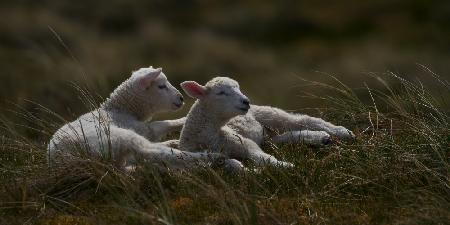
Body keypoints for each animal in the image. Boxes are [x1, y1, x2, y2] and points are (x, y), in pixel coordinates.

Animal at [46, 66, 225, 170]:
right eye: (161, 86)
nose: (181, 98)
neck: (120, 109)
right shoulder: (142, 128)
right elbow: (162, 124)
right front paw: (182, 120)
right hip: (119, 137)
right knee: (153, 152)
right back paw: (210, 157)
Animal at [179, 76, 356, 168]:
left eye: (238, 88)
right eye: (221, 93)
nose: (246, 101)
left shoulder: (241, 141)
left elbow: (261, 157)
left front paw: (285, 166)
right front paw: (285, 165)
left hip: (271, 114)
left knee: (305, 120)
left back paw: (342, 131)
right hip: (267, 134)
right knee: (284, 137)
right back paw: (320, 138)